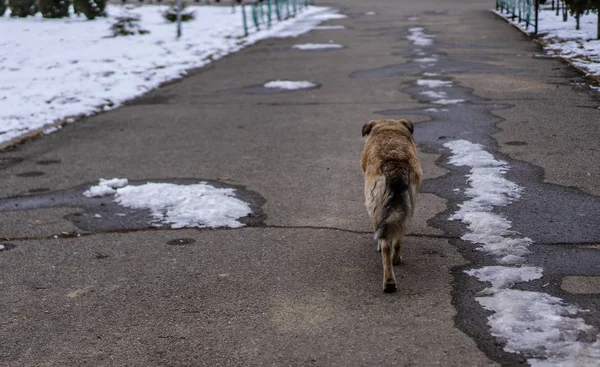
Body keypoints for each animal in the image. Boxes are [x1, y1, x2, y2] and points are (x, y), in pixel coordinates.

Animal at [360, 120, 422, 294]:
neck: (388, 126)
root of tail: (395, 165)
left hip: (376, 209)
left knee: (386, 244)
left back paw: (388, 282)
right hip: (408, 204)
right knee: (399, 233)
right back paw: (396, 261)